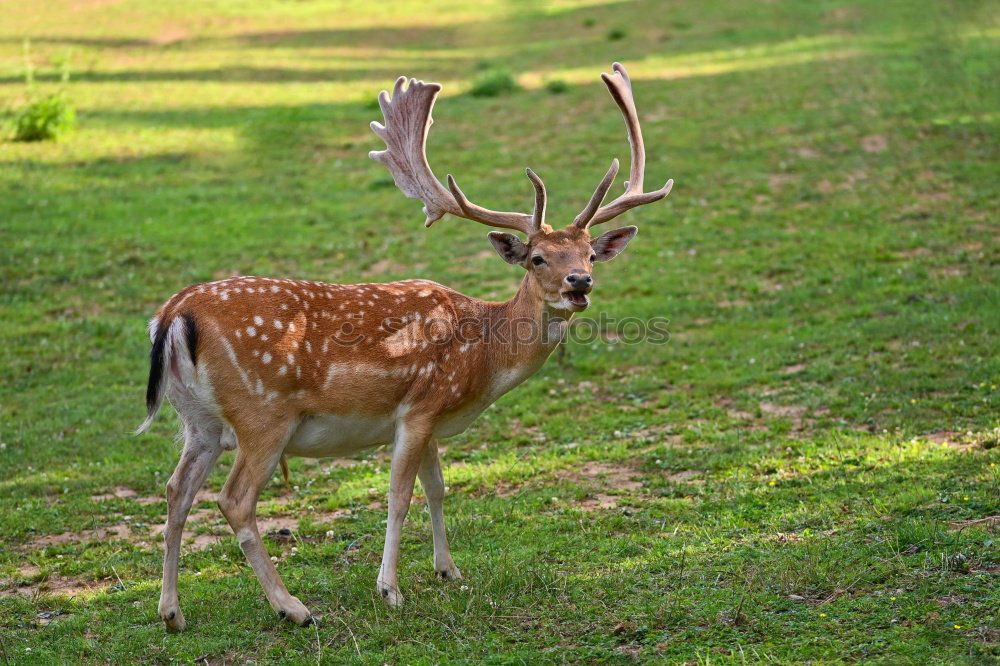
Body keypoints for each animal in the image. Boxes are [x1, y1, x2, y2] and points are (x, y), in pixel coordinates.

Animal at [139, 62, 672, 628]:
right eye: (537, 258)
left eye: (590, 253)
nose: (579, 283)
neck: (483, 360)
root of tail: (173, 315)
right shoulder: (416, 408)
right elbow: (398, 496)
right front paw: (390, 589)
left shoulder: (432, 418)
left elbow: (438, 488)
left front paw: (449, 571)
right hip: (262, 414)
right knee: (234, 500)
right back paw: (294, 608)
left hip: (198, 419)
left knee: (176, 491)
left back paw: (172, 613)